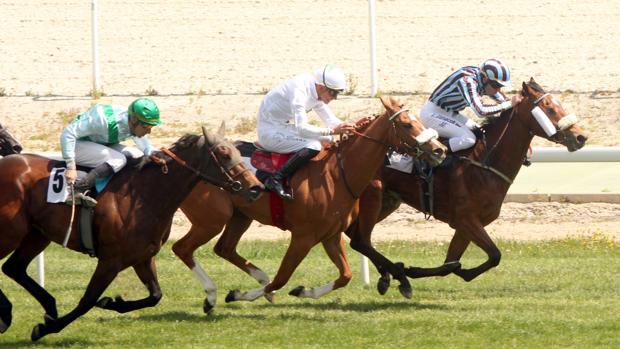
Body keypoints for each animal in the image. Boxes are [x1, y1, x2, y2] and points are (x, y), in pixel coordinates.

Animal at [0, 125, 262, 340]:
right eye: (224, 154)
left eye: (238, 152)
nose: (256, 187)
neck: (143, 197)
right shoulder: (111, 259)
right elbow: (87, 301)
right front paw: (45, 328)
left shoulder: (143, 256)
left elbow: (155, 296)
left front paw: (111, 302)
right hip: (11, 232)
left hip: (36, 234)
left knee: (13, 268)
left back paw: (43, 308)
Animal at [172, 94, 448, 310]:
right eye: (407, 124)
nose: (439, 150)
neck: (337, 175)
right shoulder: (303, 237)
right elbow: (282, 277)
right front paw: (240, 294)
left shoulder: (331, 236)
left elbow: (345, 275)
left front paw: (303, 291)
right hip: (211, 220)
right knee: (182, 248)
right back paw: (212, 295)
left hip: (240, 216)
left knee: (224, 248)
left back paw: (258, 280)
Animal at [344, 78, 592, 296]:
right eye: (549, 107)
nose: (581, 136)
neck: (484, 163)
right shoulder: (466, 219)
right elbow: (493, 255)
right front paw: (410, 270)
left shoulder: (468, 225)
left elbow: (453, 263)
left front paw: (423, 270)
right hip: (373, 195)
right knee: (360, 239)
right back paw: (396, 275)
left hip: (389, 201)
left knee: (356, 236)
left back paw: (387, 276)